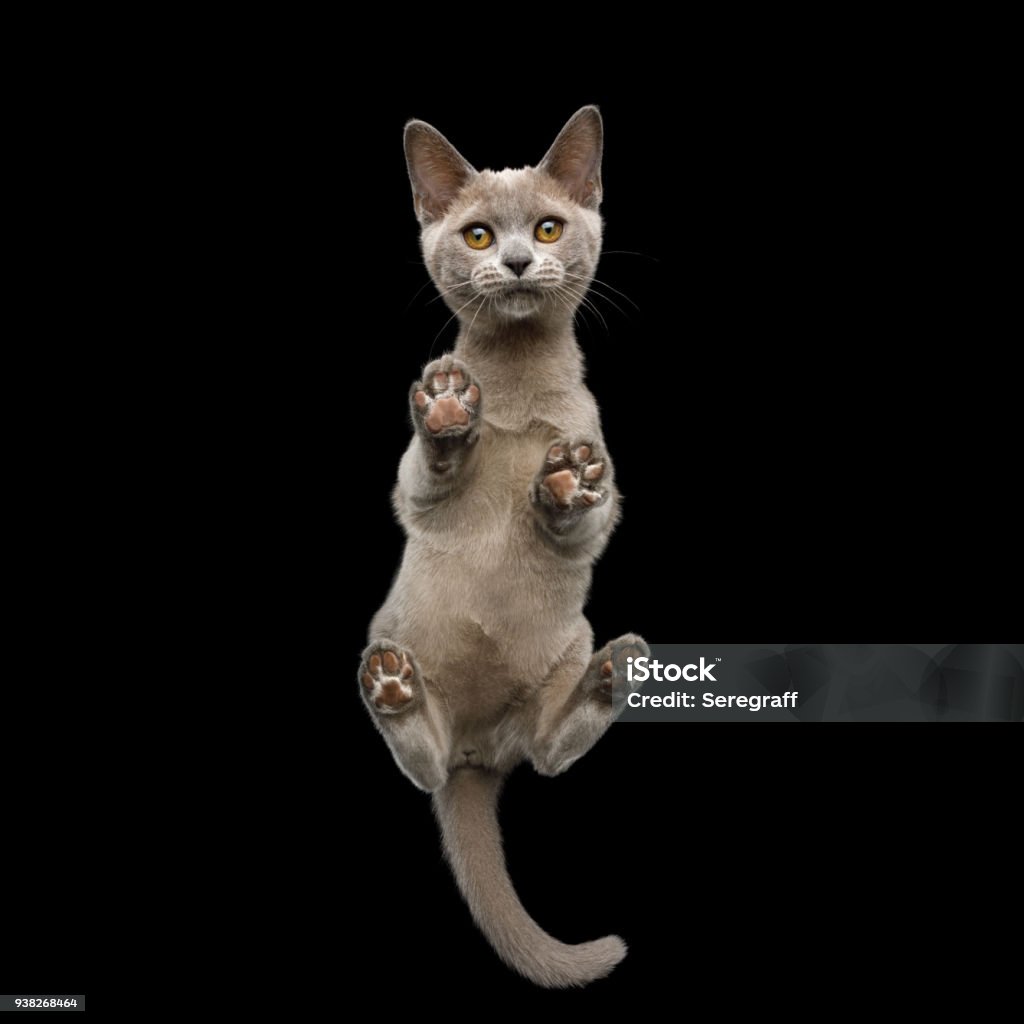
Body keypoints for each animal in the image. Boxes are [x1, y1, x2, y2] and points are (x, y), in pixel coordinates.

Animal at [360, 108, 647, 987]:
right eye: (480, 235)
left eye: (548, 227)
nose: (518, 259)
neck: (517, 391)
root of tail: (479, 754)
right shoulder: (409, 493)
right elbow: (427, 473)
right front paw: (452, 409)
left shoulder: (612, 497)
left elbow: (585, 514)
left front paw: (560, 483)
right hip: (395, 637)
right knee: (422, 766)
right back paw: (393, 690)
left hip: (570, 641)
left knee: (549, 755)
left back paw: (613, 675)